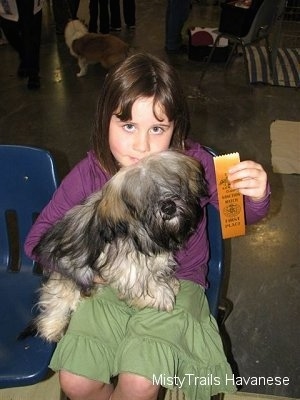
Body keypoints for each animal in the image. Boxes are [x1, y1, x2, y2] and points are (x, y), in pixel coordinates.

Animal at [32, 151, 206, 340]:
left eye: (172, 185)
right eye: (144, 197)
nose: (168, 207)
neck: (149, 233)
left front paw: (168, 282)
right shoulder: (121, 261)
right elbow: (138, 278)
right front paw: (161, 295)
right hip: (68, 270)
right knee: (57, 297)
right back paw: (53, 327)